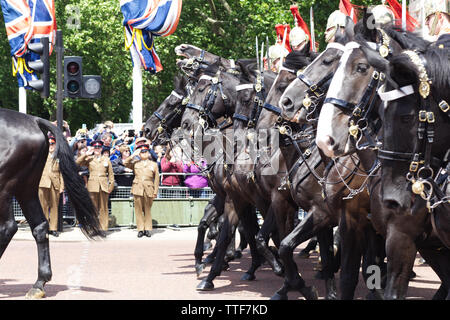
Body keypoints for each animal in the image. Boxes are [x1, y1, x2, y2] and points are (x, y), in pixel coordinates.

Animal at [0, 109, 102, 298]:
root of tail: (33, 120)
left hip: (4, 187)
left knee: (7, 228)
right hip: (26, 188)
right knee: (39, 226)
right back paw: (39, 283)